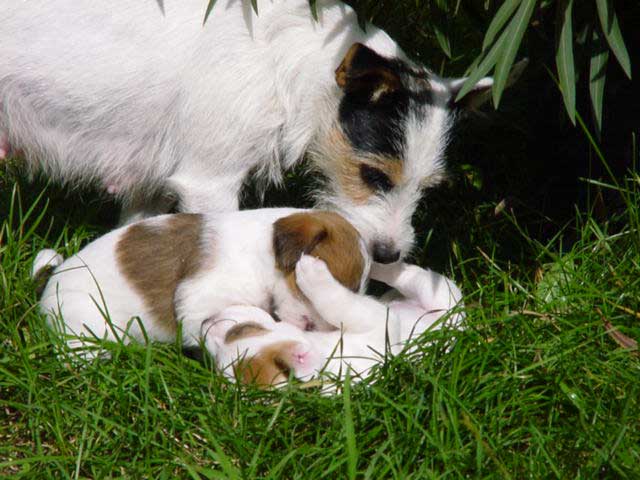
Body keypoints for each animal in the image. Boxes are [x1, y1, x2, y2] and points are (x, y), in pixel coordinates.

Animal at [0, 0, 524, 262]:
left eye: (427, 190)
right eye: (374, 176)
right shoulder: (209, 181)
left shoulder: (148, 182)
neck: (289, 57)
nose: (389, 255)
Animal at [32, 208, 370, 354]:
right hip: (85, 327)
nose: (320, 330)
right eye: (303, 284)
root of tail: (49, 281)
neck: (261, 257)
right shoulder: (198, 298)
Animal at [208, 256, 462, 388]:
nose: (207, 324)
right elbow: (336, 300)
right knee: (408, 274)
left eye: (240, 330)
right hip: (438, 295)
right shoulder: (378, 322)